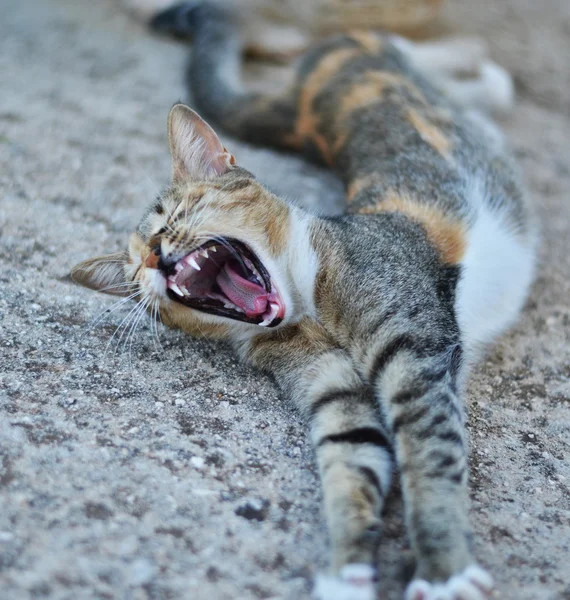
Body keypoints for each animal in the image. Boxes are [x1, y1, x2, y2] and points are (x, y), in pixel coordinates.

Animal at [70, 2, 532, 596]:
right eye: (131, 274)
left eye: (176, 215)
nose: (153, 256)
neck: (305, 308)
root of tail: (303, 101)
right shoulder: (334, 391)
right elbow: (351, 459)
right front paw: (346, 572)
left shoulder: (412, 353)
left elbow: (427, 455)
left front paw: (443, 568)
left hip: (369, 48)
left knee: (400, 43)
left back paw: (486, 70)